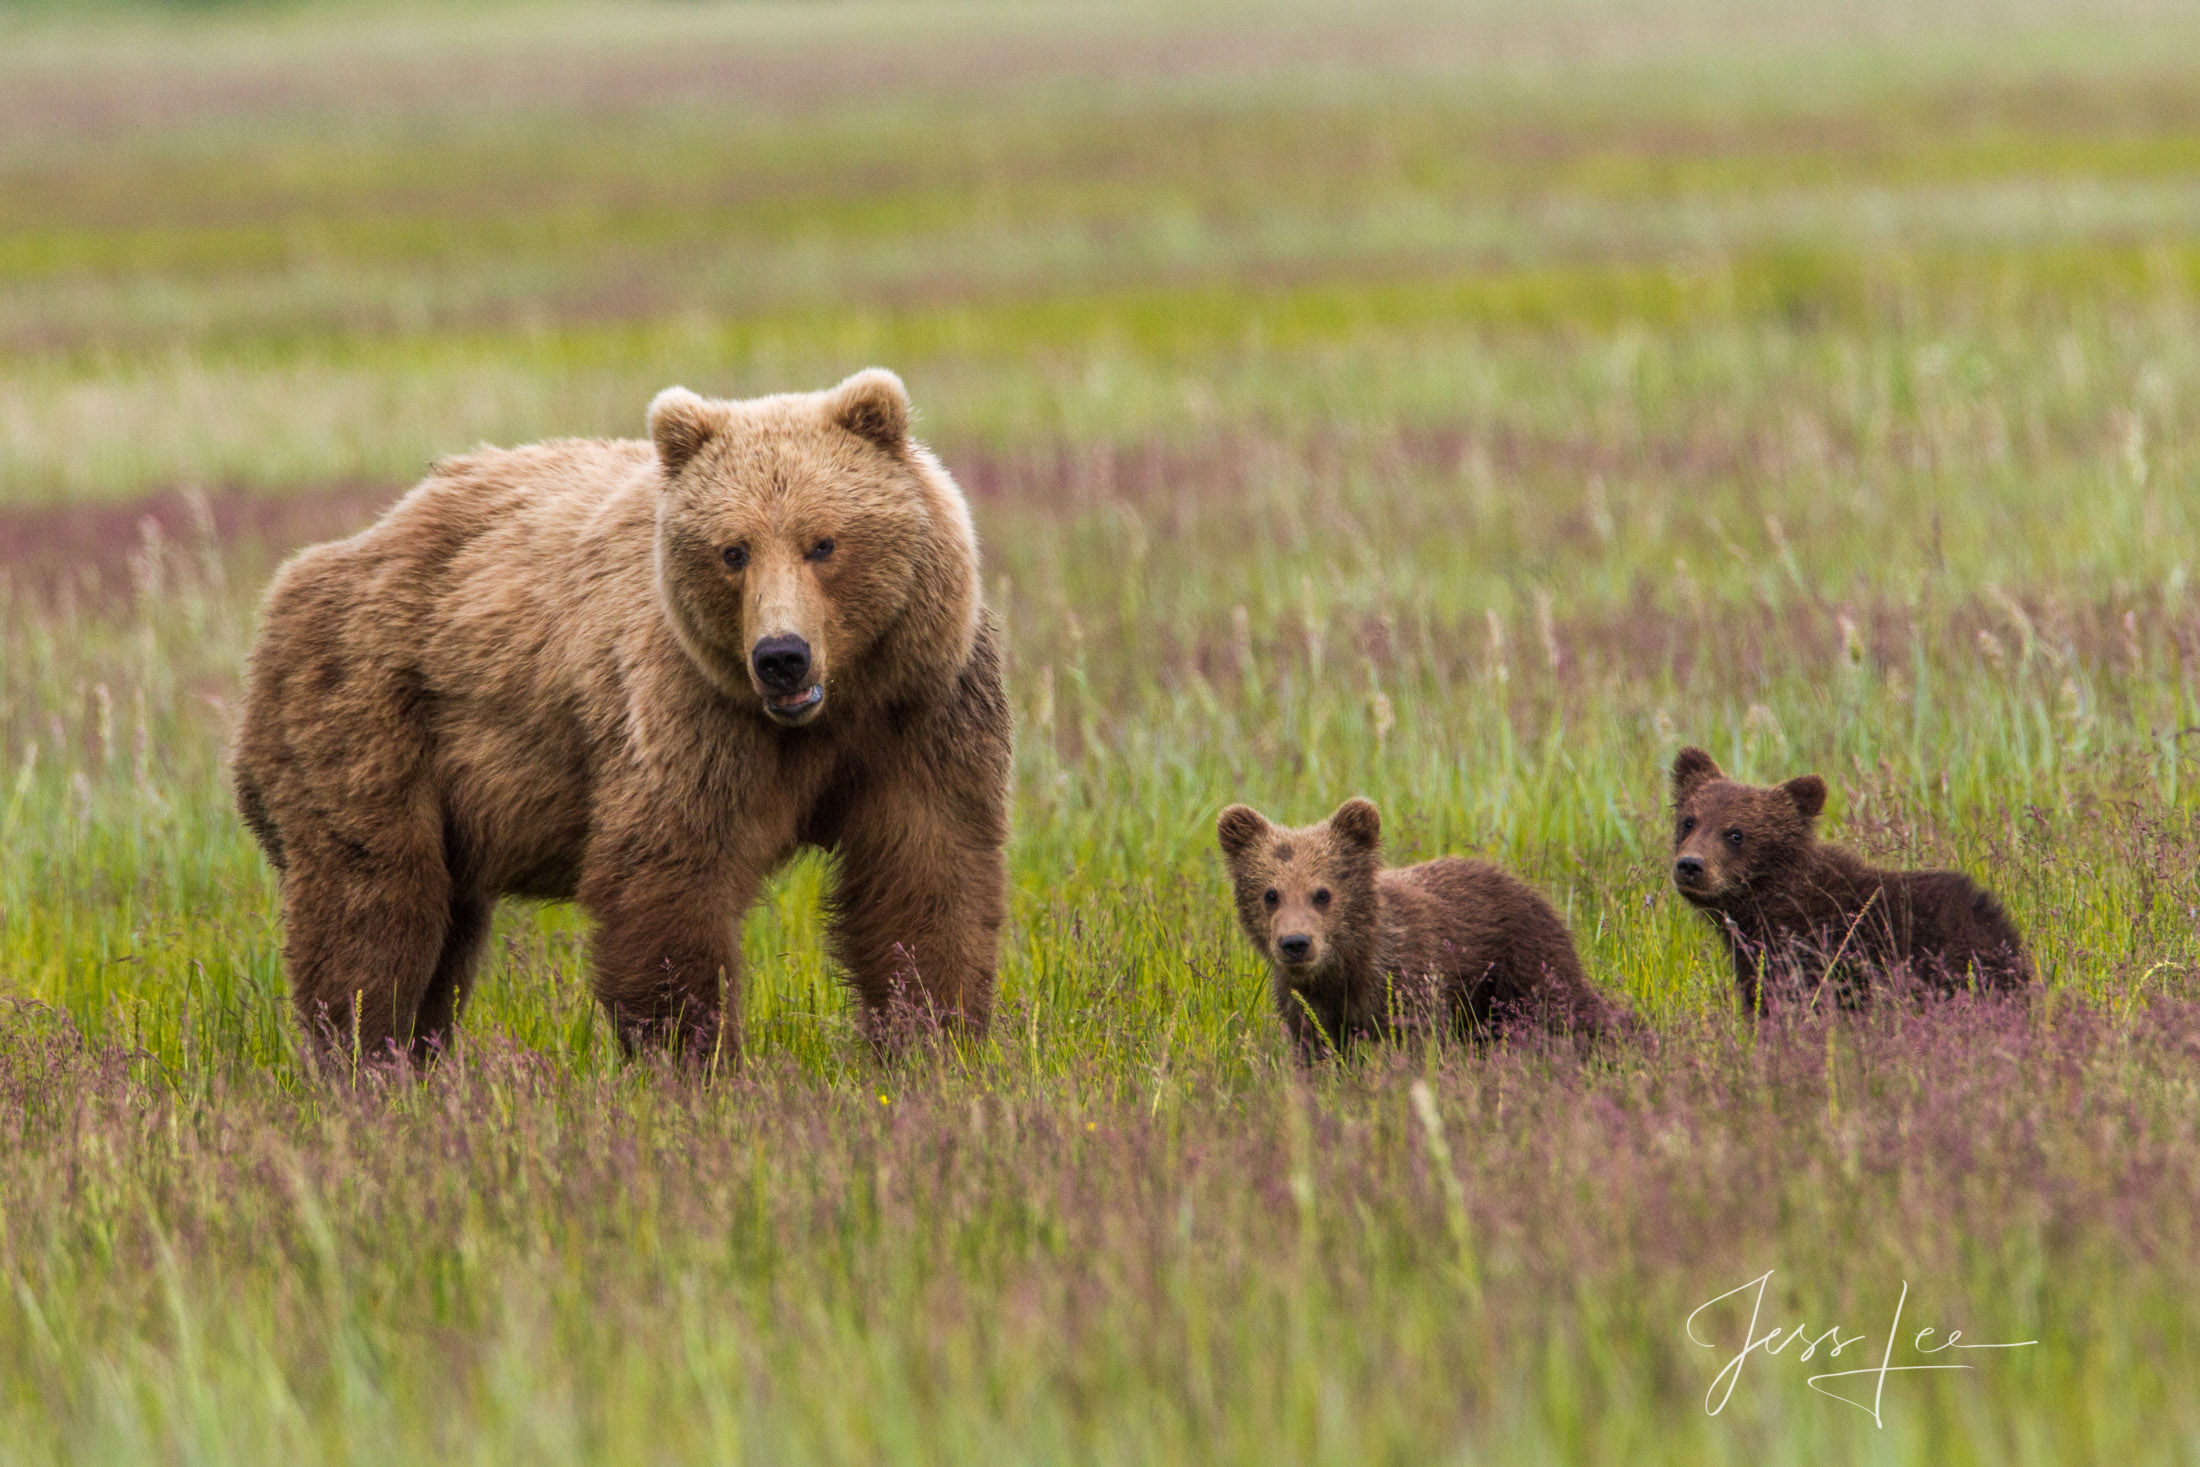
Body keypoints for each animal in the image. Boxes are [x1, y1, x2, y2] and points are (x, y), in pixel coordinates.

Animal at [234, 367, 1012, 1068]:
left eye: (823, 543)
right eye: (733, 551)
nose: (781, 656)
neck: (827, 713)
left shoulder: (921, 710)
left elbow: (926, 874)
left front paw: (932, 1042)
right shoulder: (693, 712)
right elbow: (668, 878)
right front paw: (695, 1059)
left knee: (444, 934)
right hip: (368, 718)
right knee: (378, 911)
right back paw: (364, 1059)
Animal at [1214, 796, 1628, 1060]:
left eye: (1322, 893)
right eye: (1270, 893)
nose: (1296, 943)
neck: (1348, 968)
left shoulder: (1408, 983)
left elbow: (1417, 1043)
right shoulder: (1307, 1006)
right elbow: (1319, 1052)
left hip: (1525, 968)